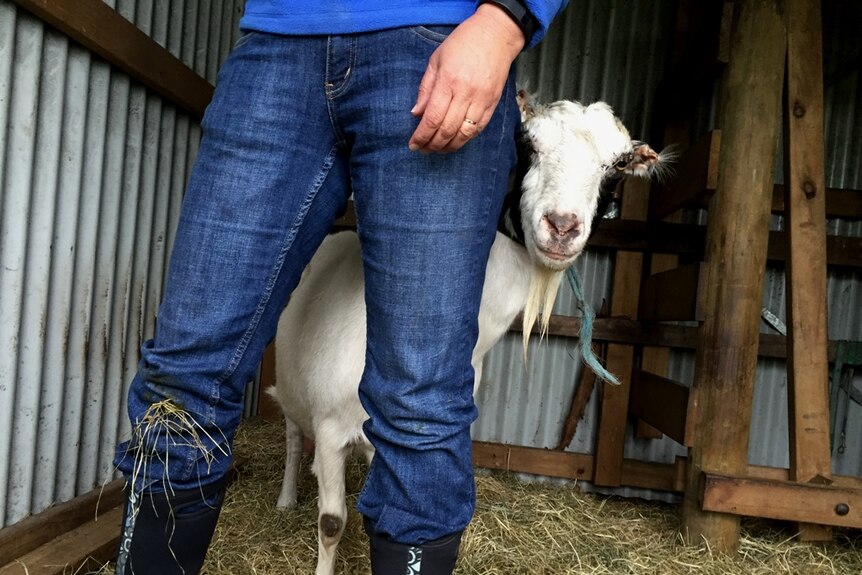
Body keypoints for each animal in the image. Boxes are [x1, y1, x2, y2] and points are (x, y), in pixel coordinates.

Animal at [270, 92, 668, 572]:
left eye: (618, 164)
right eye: (526, 144)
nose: (562, 226)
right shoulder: (330, 429)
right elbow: (331, 522)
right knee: (293, 434)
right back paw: (286, 499)